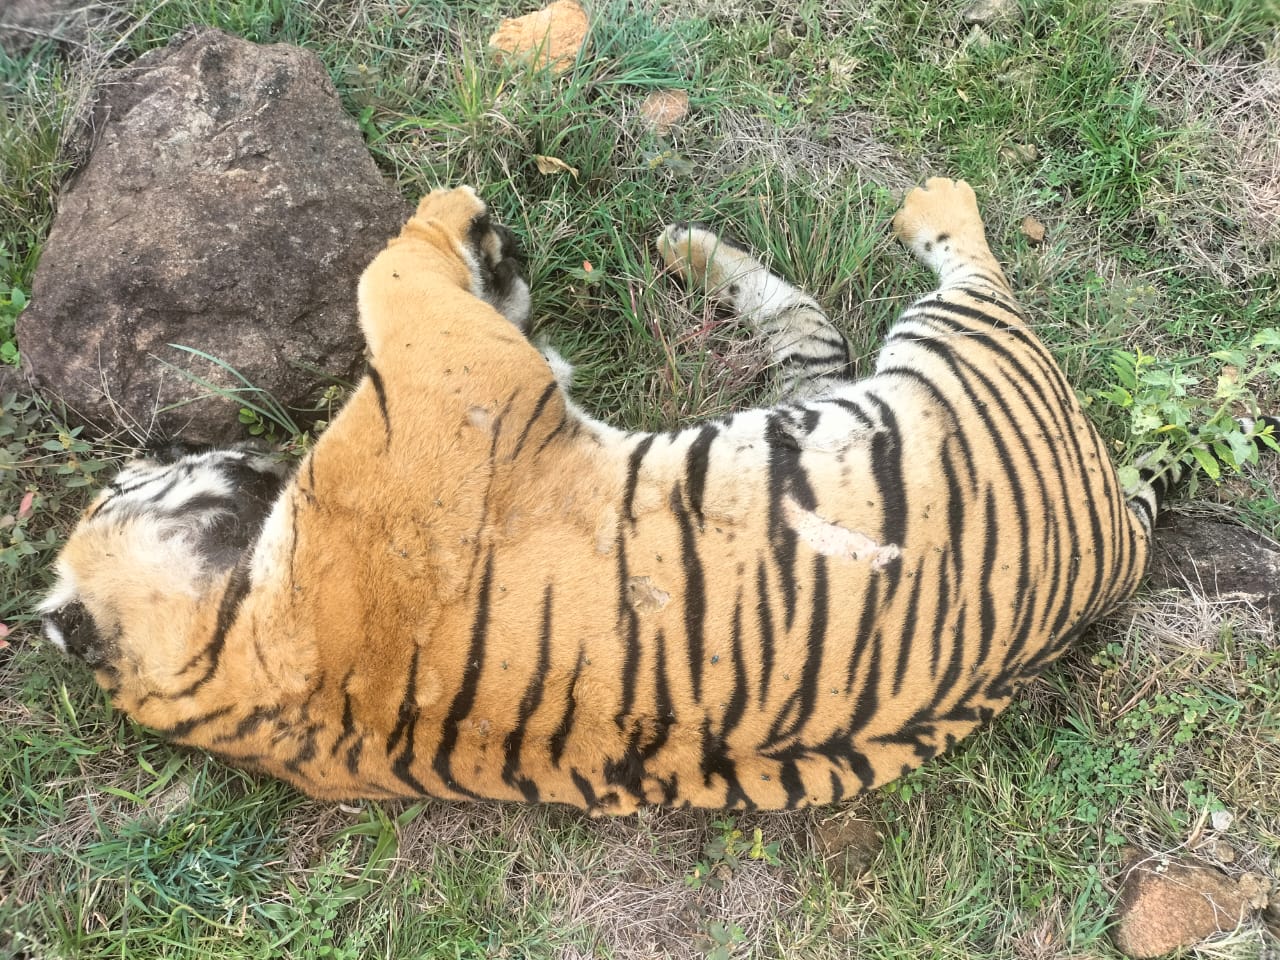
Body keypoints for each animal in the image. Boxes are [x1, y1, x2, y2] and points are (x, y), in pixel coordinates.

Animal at [38, 178, 1278, 813]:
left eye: (127, 473)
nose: (167, 446)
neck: (229, 667)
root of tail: (1112, 554)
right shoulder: (457, 377)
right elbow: (394, 273)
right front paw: (456, 210)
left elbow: (439, 286)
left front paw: (491, 245)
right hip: (955, 357)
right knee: (964, 263)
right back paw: (927, 199)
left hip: (833, 396)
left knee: (805, 327)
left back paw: (686, 248)